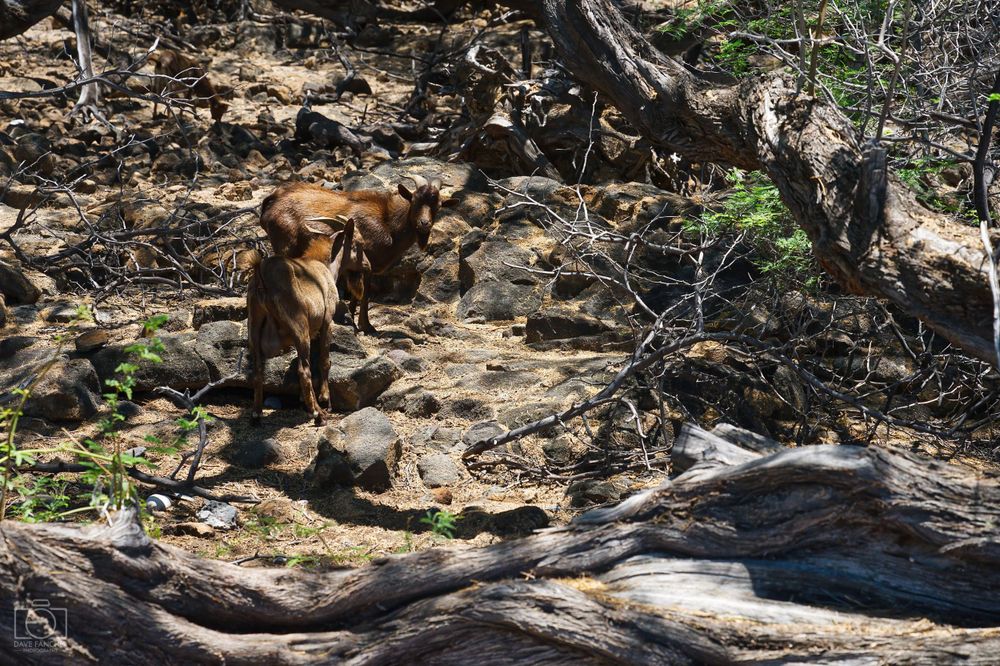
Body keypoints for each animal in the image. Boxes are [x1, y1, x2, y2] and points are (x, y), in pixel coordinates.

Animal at [247, 220, 355, 426]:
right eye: (355, 244)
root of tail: (261, 275)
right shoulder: (327, 321)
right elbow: (323, 360)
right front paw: (324, 399)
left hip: (254, 326)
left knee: (257, 370)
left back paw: (256, 414)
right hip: (299, 326)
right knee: (303, 371)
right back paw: (318, 415)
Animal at [259, 175, 456, 334]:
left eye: (438, 206)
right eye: (414, 200)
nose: (424, 224)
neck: (388, 224)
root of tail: (271, 204)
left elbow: (355, 294)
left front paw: (352, 319)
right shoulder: (367, 264)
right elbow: (365, 293)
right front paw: (366, 326)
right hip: (285, 246)